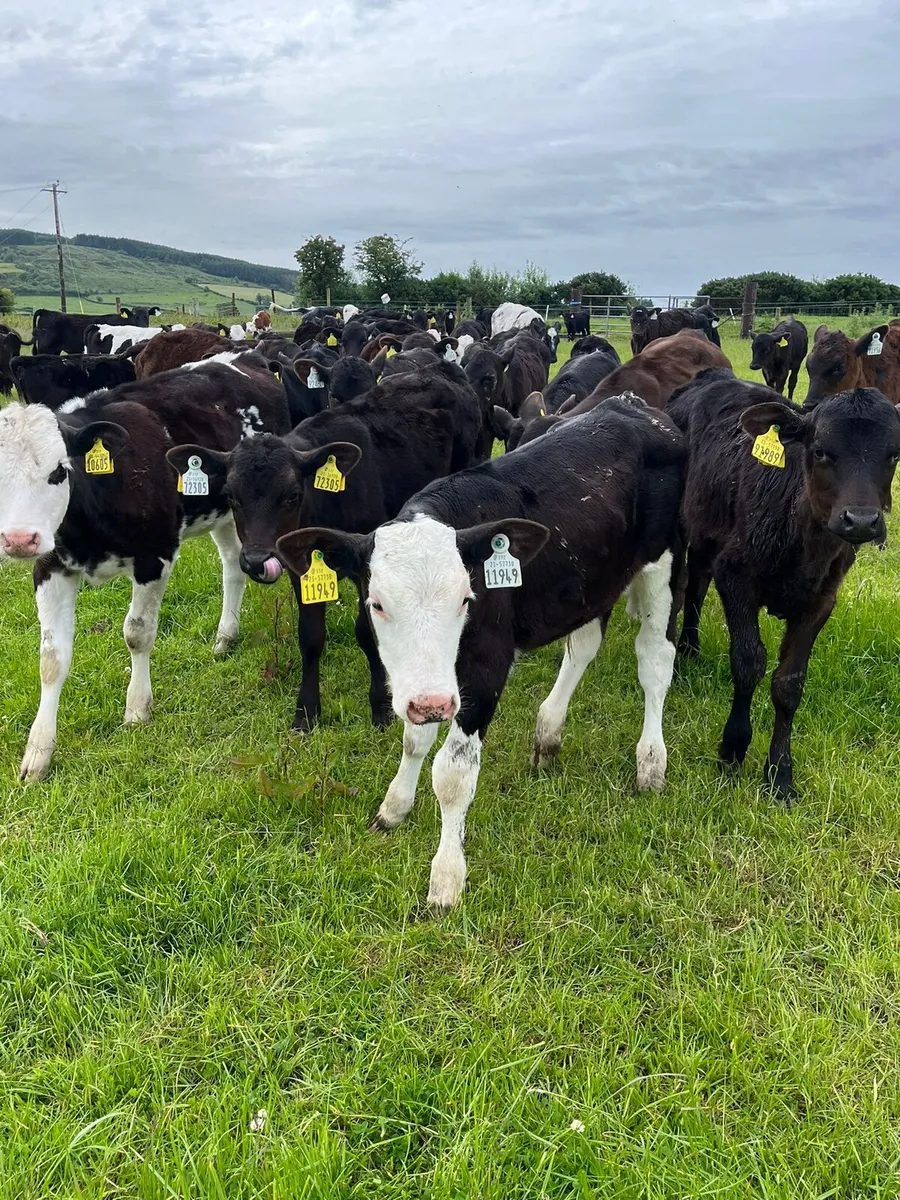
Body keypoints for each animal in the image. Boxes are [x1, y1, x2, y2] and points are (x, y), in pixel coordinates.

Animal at [0, 361, 290, 781]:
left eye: (59, 472)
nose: (19, 539)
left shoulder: (155, 555)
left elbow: (137, 634)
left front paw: (137, 709)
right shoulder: (50, 566)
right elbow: (51, 659)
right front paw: (38, 752)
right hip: (224, 511)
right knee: (233, 566)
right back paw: (225, 636)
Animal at [167, 361, 483, 732]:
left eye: (292, 495)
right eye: (231, 496)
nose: (257, 561)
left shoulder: (367, 567)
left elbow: (367, 633)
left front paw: (380, 706)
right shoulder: (300, 568)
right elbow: (311, 637)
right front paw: (306, 711)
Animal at [274, 393, 686, 910]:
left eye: (466, 598)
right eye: (377, 603)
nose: (431, 703)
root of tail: (635, 406)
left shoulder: (485, 669)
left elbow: (453, 774)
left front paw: (446, 878)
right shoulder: (424, 682)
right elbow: (413, 741)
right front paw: (394, 807)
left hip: (664, 563)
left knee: (654, 660)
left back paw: (651, 762)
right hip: (594, 579)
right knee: (583, 646)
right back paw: (548, 734)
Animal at [668, 371, 900, 803]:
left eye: (894, 454)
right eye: (821, 451)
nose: (861, 520)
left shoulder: (821, 602)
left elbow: (789, 684)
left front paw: (779, 773)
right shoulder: (736, 578)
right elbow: (748, 664)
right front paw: (733, 749)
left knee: (696, 584)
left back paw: (690, 648)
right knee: (675, 590)